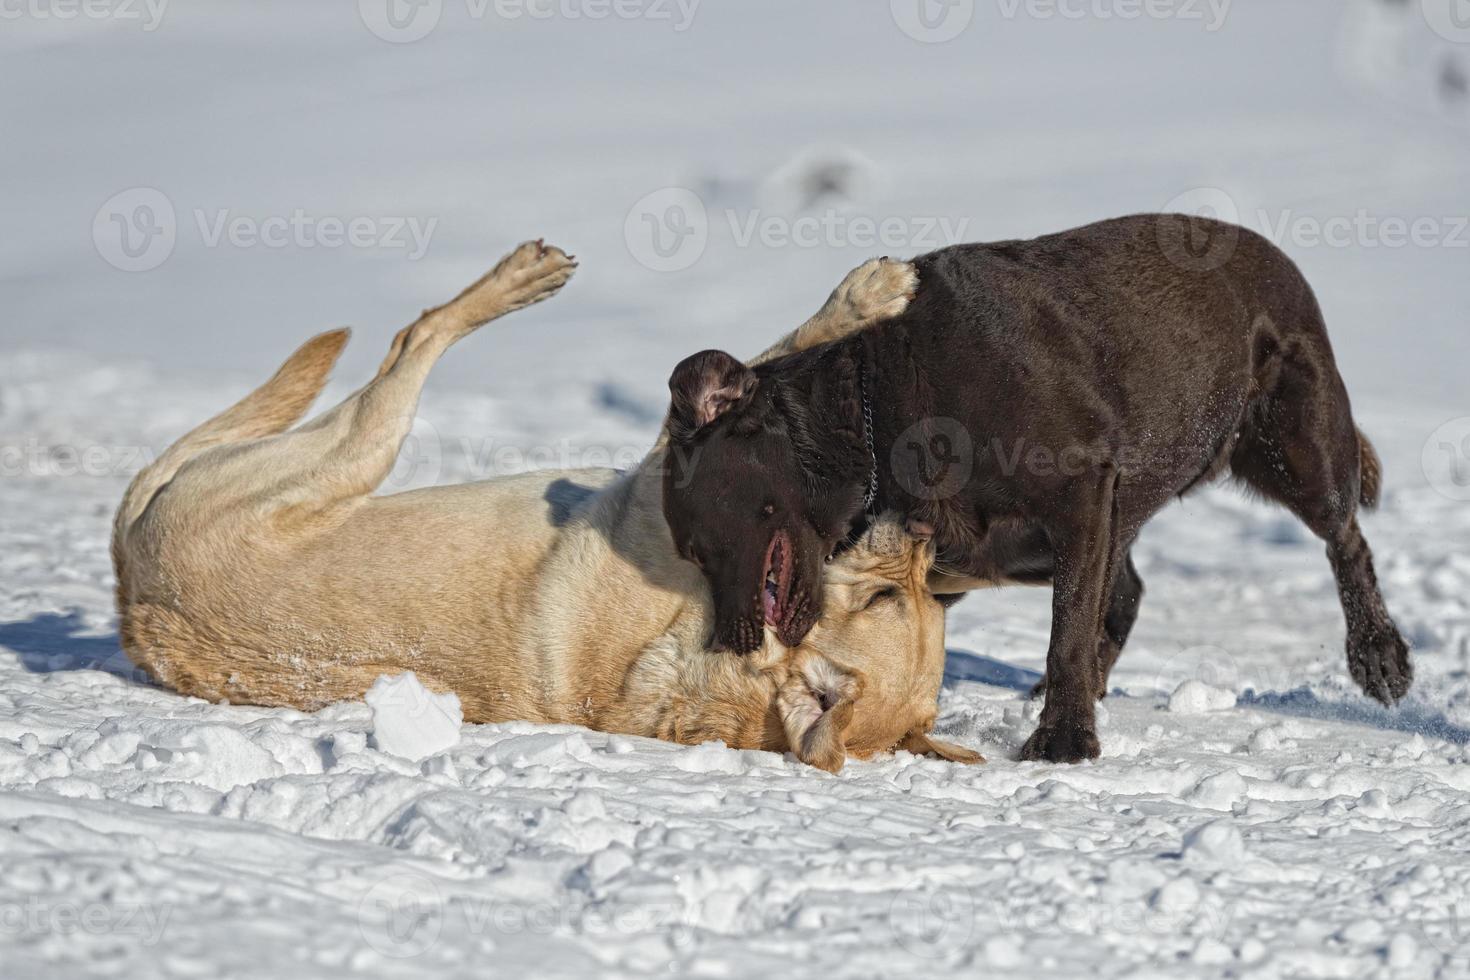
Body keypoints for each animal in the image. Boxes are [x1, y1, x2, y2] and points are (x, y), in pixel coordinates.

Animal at [114, 243, 981, 775]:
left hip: (353, 451)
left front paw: (868, 294)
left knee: (412, 339)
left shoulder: (660, 475)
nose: (923, 534)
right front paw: (871, 294)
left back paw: (517, 279)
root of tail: (134, 600)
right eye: (894, 596)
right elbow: (784, 346)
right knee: (411, 337)